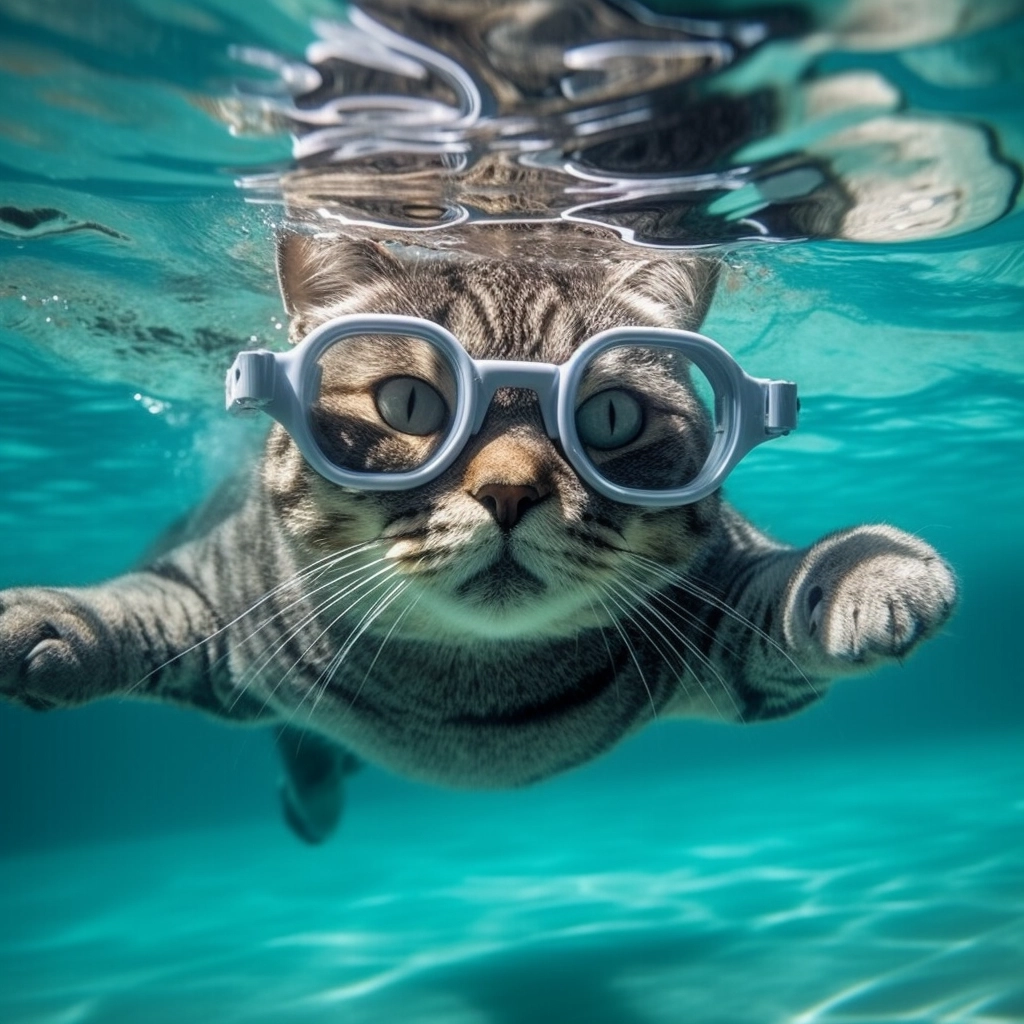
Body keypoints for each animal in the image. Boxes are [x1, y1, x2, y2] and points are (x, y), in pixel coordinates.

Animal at [2, 235, 958, 843]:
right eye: (407, 404)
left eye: (610, 418)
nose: (508, 490)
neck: (474, 700)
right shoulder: (217, 583)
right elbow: (131, 605)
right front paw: (39, 622)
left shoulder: (725, 598)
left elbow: (789, 579)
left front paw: (873, 568)